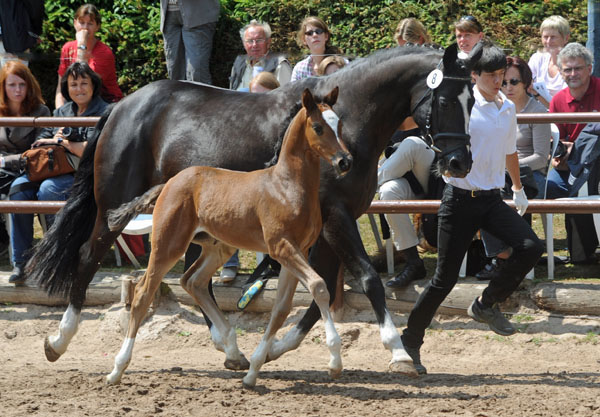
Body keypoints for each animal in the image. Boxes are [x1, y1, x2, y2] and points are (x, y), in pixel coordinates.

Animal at [106, 88, 352, 386]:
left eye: (339, 125)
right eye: (318, 127)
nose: (345, 161)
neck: (287, 187)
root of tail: (169, 183)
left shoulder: (298, 251)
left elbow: (281, 308)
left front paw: (253, 370)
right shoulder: (281, 247)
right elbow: (318, 286)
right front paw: (335, 361)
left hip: (217, 247)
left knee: (193, 281)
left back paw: (235, 352)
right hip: (168, 245)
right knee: (143, 293)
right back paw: (117, 369)